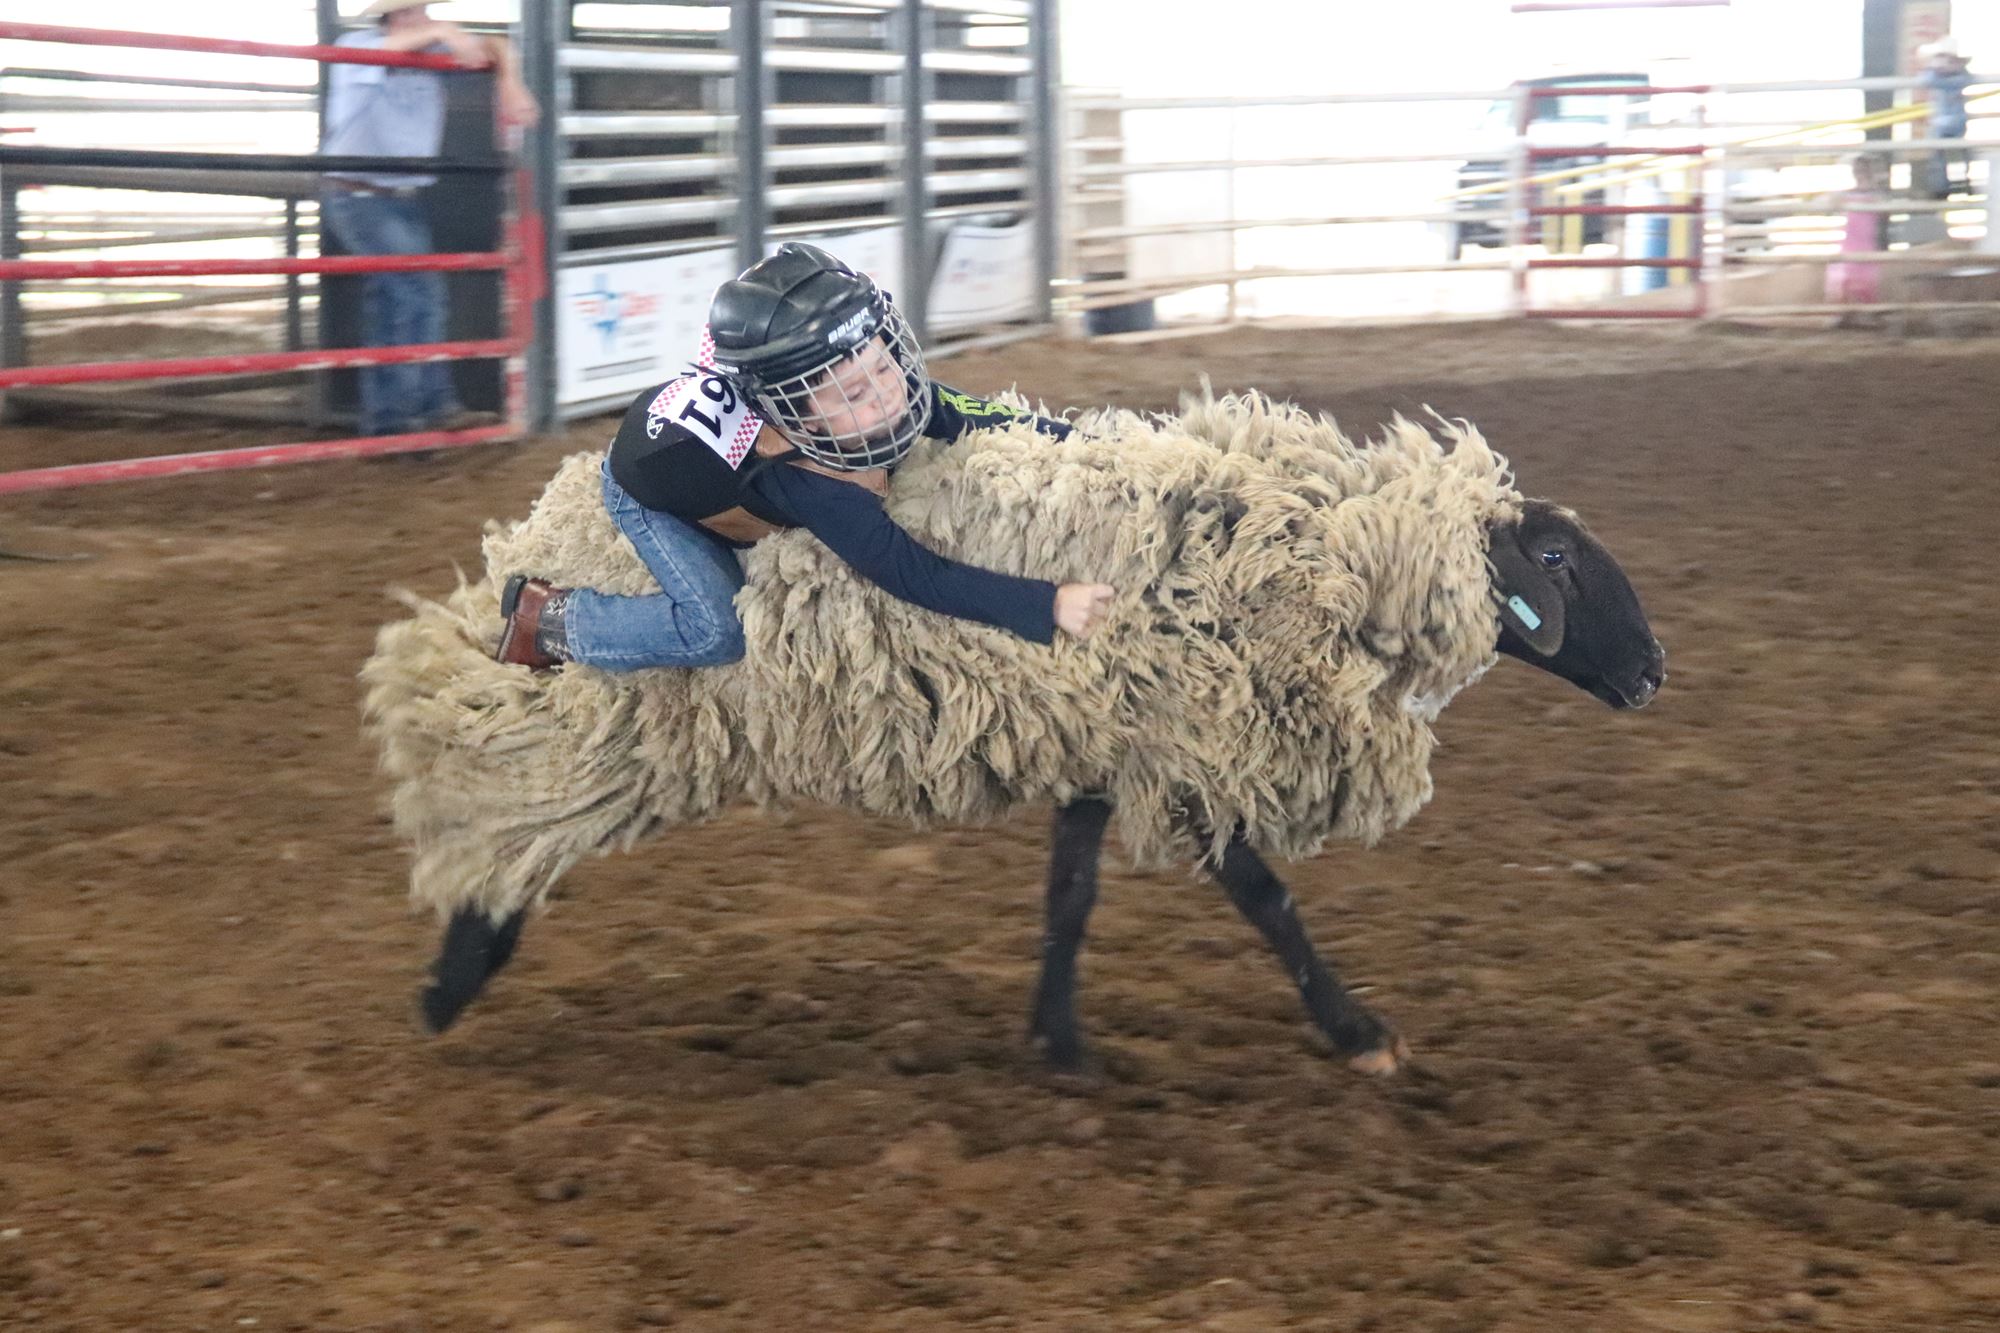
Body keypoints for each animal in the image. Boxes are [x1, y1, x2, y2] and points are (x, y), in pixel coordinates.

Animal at [356, 390, 1656, 1072]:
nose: (1650, 673)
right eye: (1552, 559)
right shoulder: (1184, 744)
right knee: (503, 820)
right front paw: (1356, 1031)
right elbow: (1263, 894)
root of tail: (557, 518)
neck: (1306, 556)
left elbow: (1068, 895)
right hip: (601, 717)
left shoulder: (1110, 737)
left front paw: (1057, 1039)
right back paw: (451, 978)